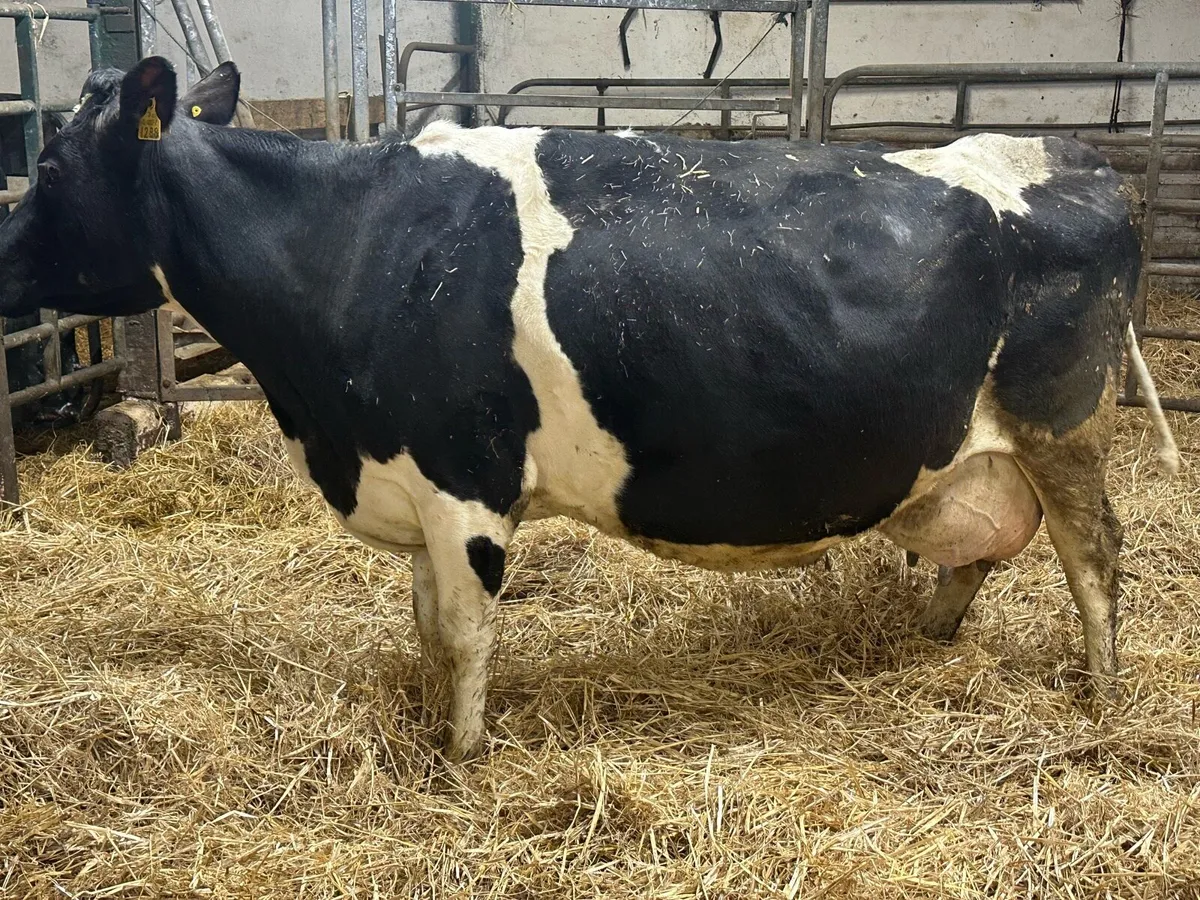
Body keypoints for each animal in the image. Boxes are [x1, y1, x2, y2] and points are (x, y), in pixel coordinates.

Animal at [0, 57, 1180, 762]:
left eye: (47, 165)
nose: (1, 265)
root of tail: (1076, 157)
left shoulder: (466, 477)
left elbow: (467, 631)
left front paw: (465, 757)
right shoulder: (417, 484)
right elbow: (427, 625)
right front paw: (431, 720)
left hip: (1063, 428)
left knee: (1095, 558)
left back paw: (1103, 697)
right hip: (969, 453)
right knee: (980, 545)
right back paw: (923, 641)